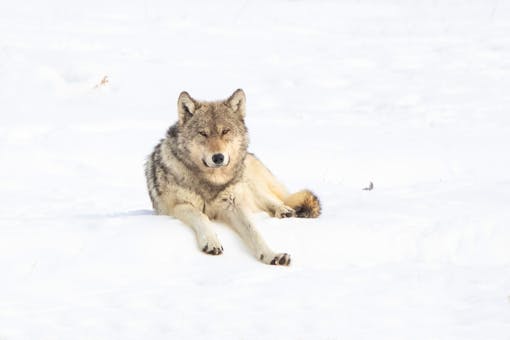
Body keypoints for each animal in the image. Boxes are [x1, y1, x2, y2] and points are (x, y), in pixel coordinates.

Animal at [144, 89, 318, 266]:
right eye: (203, 133)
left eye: (225, 131)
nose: (218, 157)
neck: (211, 182)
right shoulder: (179, 206)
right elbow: (201, 217)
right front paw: (211, 242)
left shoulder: (233, 204)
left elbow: (254, 231)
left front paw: (272, 255)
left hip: (248, 182)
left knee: (273, 199)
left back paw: (284, 210)